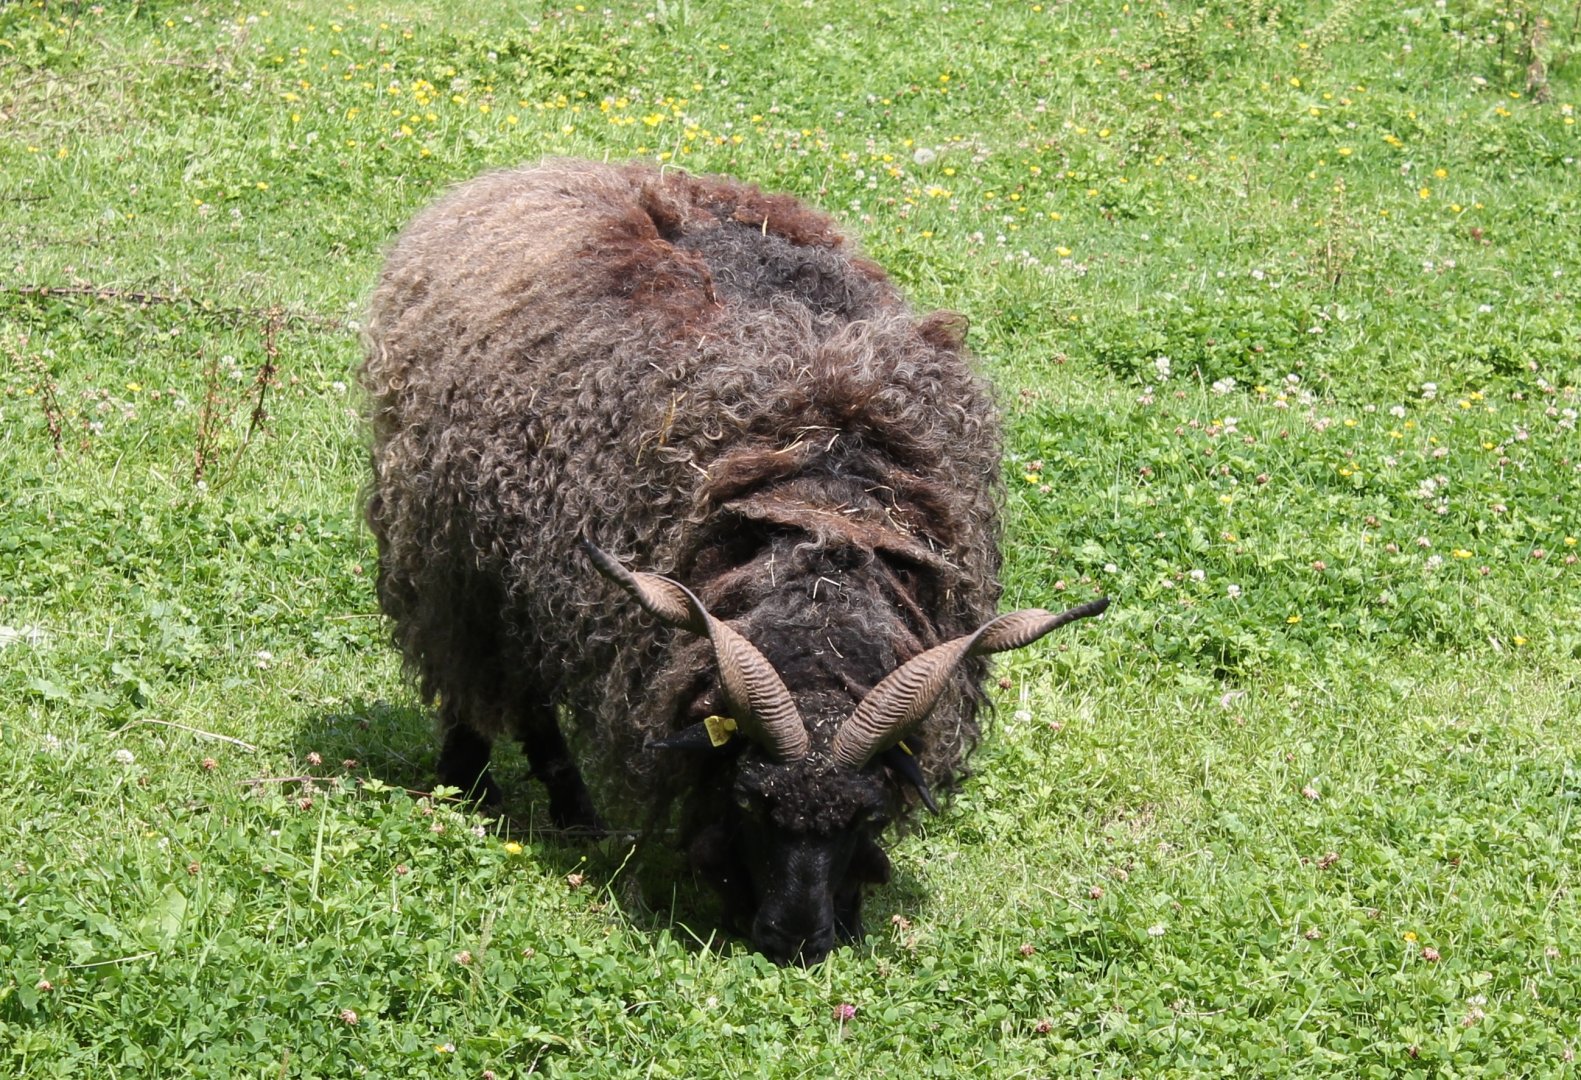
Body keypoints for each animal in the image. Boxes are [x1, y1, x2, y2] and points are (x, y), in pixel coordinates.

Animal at [360, 159, 1108, 964]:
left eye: (870, 816)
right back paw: (485, 788)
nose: (795, 941)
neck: (825, 521)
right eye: (750, 798)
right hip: (456, 549)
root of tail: (546, 168)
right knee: (481, 673)